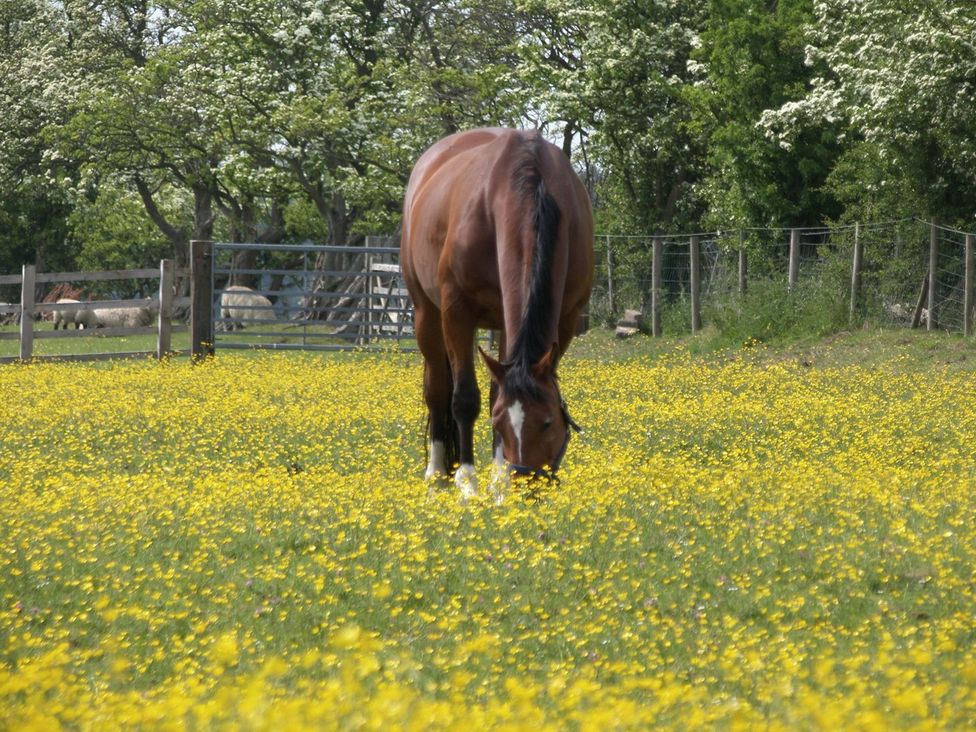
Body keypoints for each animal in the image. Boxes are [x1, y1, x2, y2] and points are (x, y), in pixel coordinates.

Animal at [398, 129, 596, 500]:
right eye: (500, 423)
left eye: (548, 421)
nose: (528, 486)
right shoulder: (456, 313)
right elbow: (464, 399)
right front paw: (468, 482)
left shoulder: (564, 318)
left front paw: (499, 482)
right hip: (426, 317)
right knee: (437, 390)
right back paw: (437, 474)